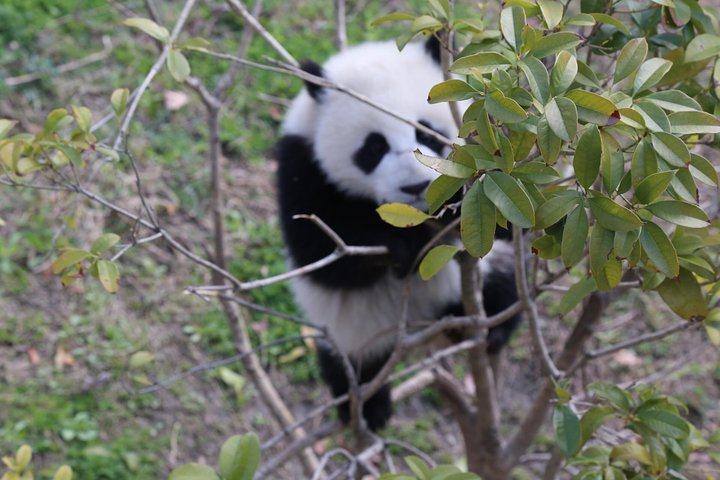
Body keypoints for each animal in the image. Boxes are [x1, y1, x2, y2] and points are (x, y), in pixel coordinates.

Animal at [278, 38, 520, 432]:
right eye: (373, 147)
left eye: (425, 131)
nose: (415, 187)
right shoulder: (301, 167)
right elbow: (322, 256)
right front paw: (404, 248)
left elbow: (507, 220)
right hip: (353, 330)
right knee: (350, 364)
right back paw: (366, 409)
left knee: (503, 280)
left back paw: (490, 331)